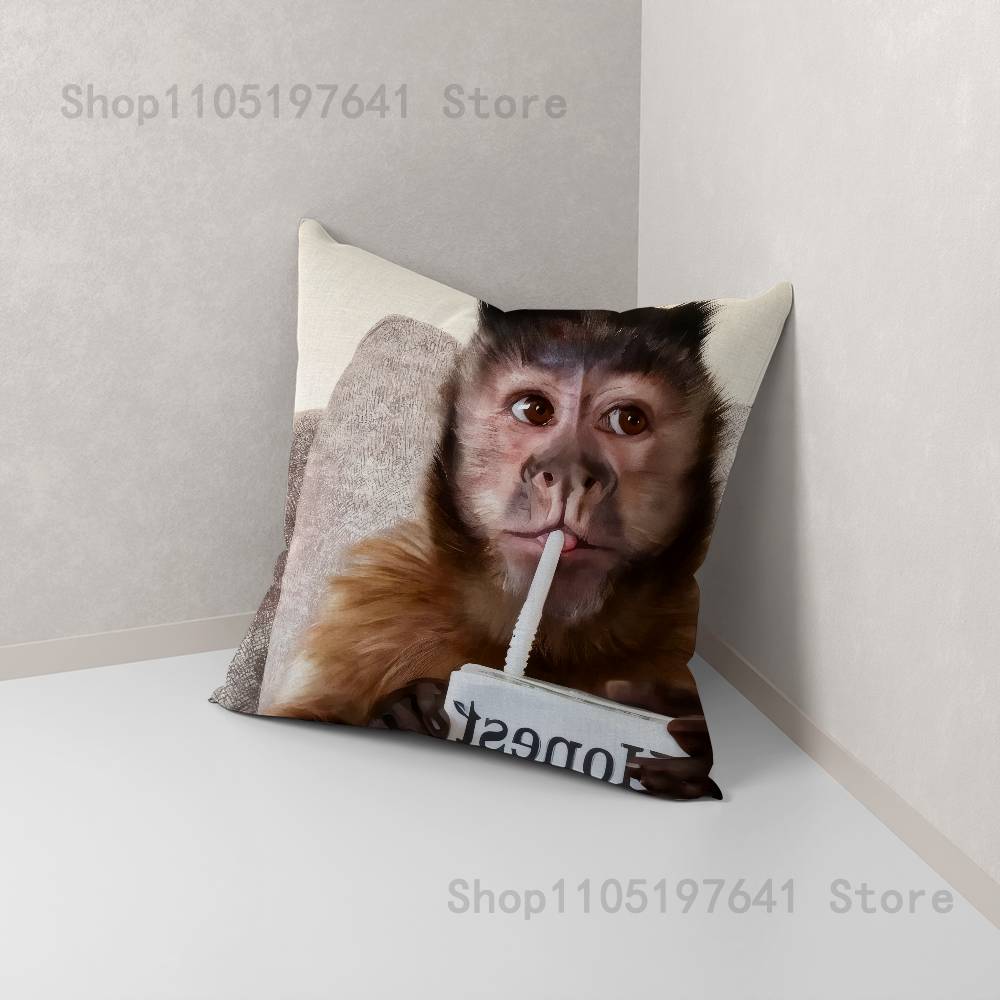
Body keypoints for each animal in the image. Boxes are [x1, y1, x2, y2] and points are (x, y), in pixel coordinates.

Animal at [267, 301, 728, 800]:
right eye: (535, 410)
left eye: (628, 420)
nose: (567, 472)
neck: (554, 651)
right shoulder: (373, 609)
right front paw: (404, 712)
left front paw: (689, 748)